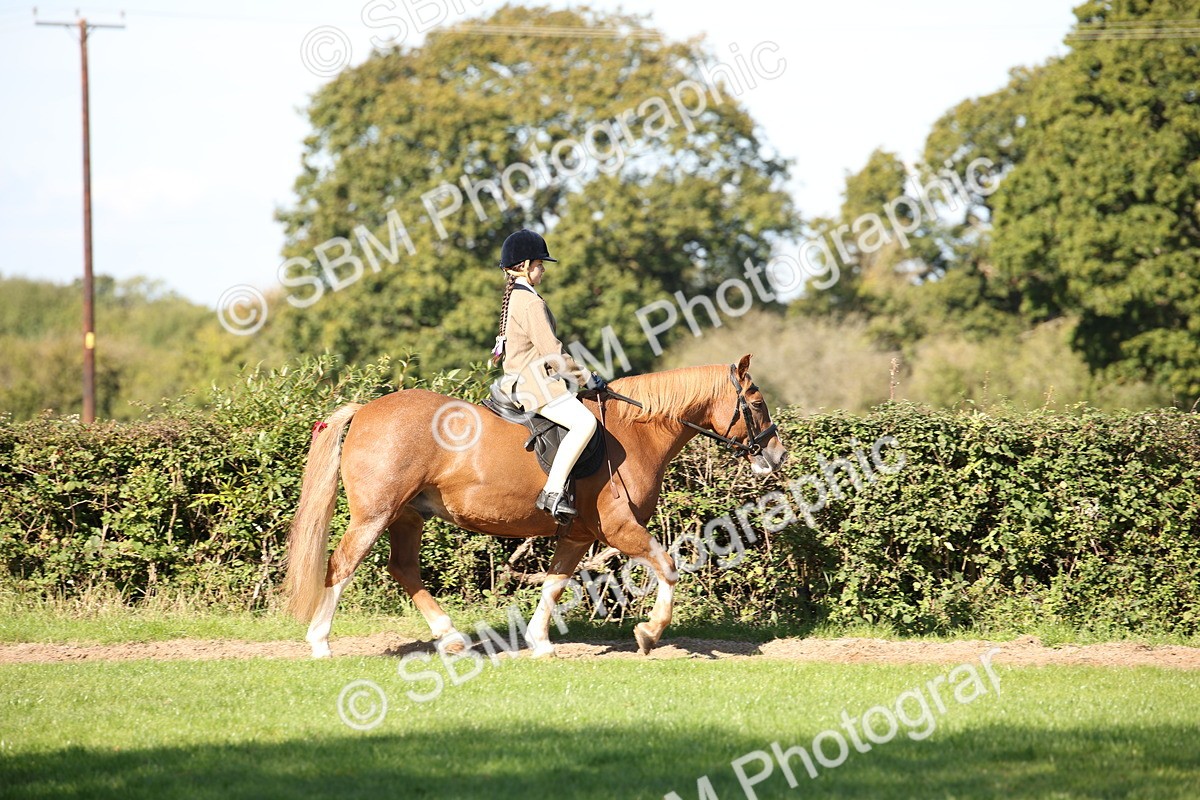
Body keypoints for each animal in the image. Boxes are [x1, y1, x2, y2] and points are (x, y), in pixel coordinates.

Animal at [284, 353, 787, 658]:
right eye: (758, 402)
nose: (777, 455)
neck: (636, 431)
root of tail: (365, 410)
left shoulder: (578, 534)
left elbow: (555, 584)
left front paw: (540, 643)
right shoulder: (619, 527)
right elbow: (667, 566)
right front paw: (649, 633)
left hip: (407, 516)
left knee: (403, 569)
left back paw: (452, 638)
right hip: (375, 514)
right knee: (342, 564)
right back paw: (320, 643)